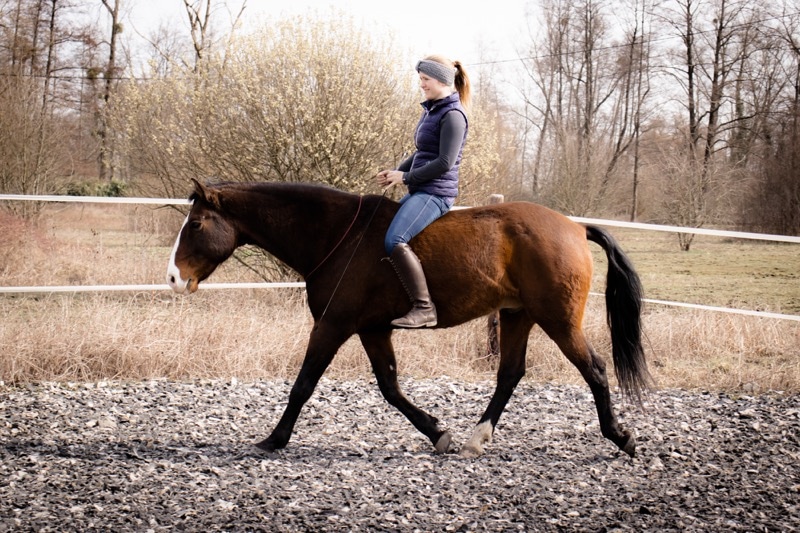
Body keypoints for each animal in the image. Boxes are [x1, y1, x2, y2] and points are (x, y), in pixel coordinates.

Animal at [169, 179, 648, 458]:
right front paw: (437, 432)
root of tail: (575, 226)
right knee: (510, 373)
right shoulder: (371, 329)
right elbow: (390, 387)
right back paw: (476, 438)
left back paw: (620, 437)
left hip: (558, 320)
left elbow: (303, 384)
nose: (174, 278)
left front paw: (274, 439)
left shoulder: (333, 325)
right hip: (517, 316)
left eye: (195, 224)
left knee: (595, 369)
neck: (336, 235)